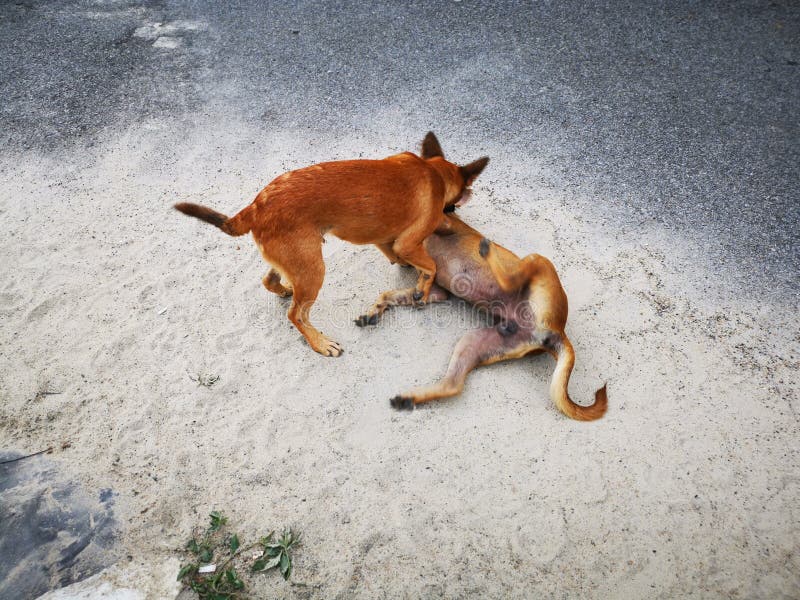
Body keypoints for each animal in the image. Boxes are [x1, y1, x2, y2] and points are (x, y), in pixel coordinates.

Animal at [175, 132, 488, 356]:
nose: (453, 211)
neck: (433, 172)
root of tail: (256, 206)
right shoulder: (408, 244)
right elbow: (431, 266)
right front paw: (421, 289)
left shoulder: (387, 241)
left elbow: (400, 257)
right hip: (314, 268)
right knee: (296, 315)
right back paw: (320, 343)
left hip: (296, 260)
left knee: (270, 281)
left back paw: (285, 290)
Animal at [356, 213, 608, 420]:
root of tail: (558, 331)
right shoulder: (437, 292)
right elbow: (392, 294)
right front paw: (375, 310)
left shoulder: (444, 226)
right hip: (472, 344)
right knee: (453, 385)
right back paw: (409, 399)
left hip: (539, 261)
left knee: (510, 277)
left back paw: (488, 251)